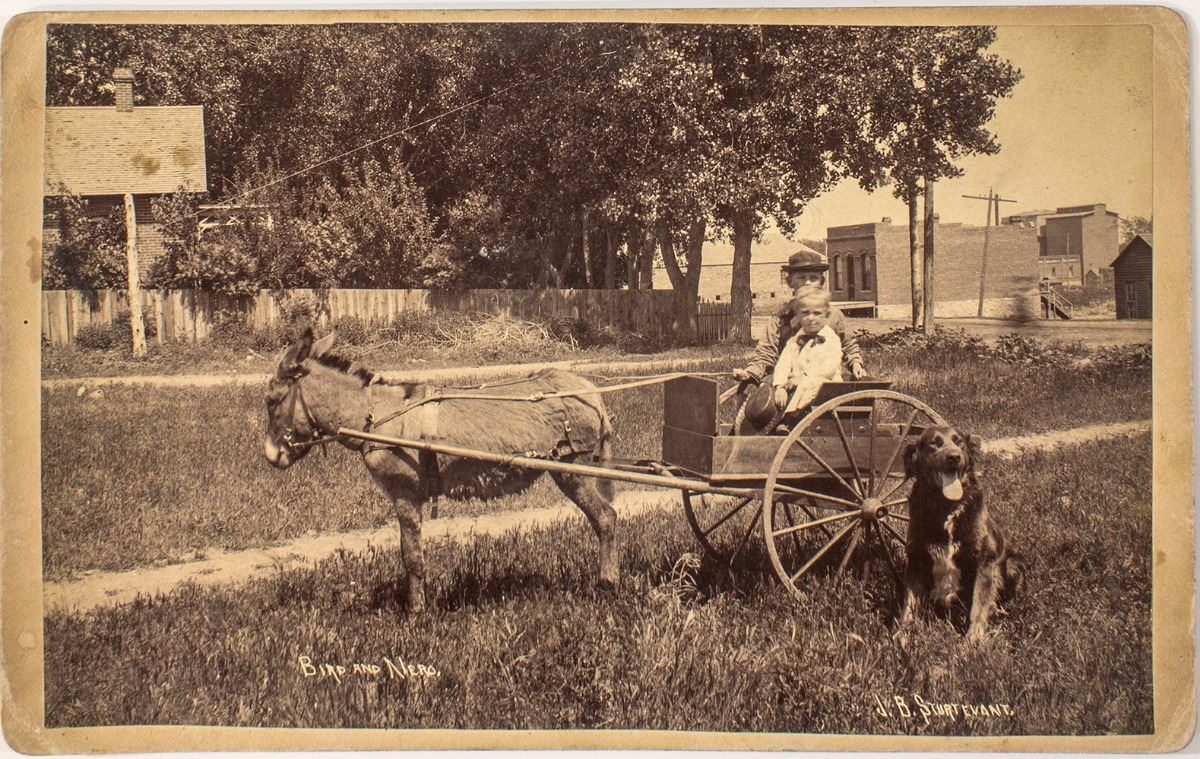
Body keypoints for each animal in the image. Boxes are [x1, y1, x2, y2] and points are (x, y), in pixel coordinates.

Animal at [262, 328, 619, 613]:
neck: (375, 417)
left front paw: (416, 612)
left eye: (270, 400)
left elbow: (411, 556)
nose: (270, 456)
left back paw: (607, 582)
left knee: (606, 518)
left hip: (572, 470)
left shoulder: (404, 495)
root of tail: (590, 392)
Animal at [896, 426, 1023, 643]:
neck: (945, 506)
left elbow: (978, 605)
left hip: (1012, 564)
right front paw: (903, 634)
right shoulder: (916, 559)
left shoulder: (985, 560)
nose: (954, 457)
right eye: (934, 443)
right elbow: (910, 604)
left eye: (959, 442)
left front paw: (973, 640)